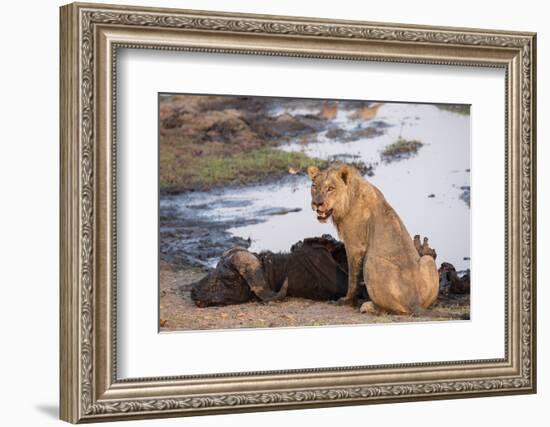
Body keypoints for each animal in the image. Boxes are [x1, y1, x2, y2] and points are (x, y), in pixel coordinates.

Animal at [308, 164, 442, 314]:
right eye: (314, 186)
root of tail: (415, 303)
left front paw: (347, 301)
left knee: (391, 309)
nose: (317, 203)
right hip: (428, 260)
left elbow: (352, 278)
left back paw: (367, 306)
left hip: (371, 261)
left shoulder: (355, 246)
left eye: (330, 188)